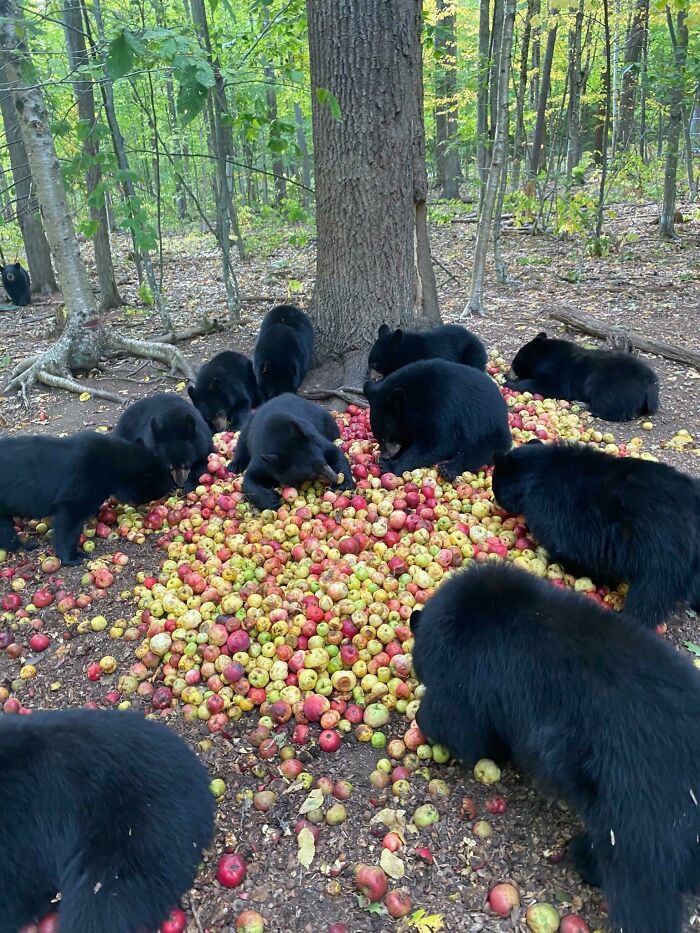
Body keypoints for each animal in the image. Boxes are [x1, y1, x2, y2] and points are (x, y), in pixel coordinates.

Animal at [0, 432, 172, 565]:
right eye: (162, 487)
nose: (174, 487)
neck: (112, 465)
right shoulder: (80, 483)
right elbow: (69, 521)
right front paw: (72, 557)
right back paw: (25, 545)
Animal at [363, 360, 511, 482]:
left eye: (385, 437)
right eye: (378, 437)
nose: (385, 456)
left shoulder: (443, 409)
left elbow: (437, 443)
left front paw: (390, 466)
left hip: (489, 429)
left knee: (481, 450)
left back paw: (449, 468)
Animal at [411, 562, 700, 933]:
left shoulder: (471, 677)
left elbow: (459, 726)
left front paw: (428, 723)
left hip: (642, 814)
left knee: (638, 888)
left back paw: (585, 860)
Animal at [491, 439, 700, 627]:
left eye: (495, 486)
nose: (495, 501)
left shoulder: (558, 513)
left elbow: (571, 553)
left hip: (661, 554)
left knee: (649, 597)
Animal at [506, 331, 659, 421]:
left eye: (516, 359)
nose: (508, 374)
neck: (546, 358)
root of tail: (651, 383)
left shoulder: (559, 372)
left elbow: (548, 386)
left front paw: (510, 383)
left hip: (612, 384)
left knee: (608, 402)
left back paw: (585, 405)